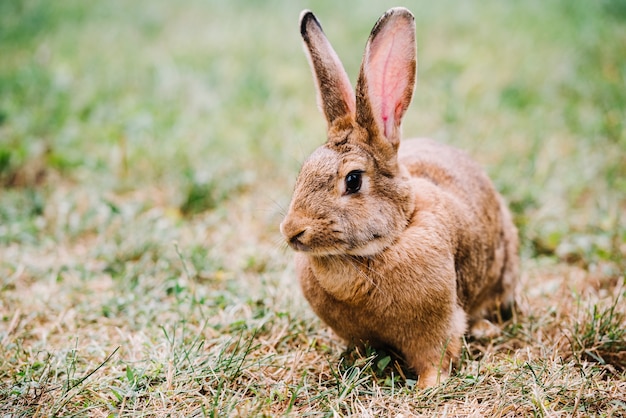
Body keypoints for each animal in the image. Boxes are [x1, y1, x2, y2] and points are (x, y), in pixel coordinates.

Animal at [282, 7, 516, 388]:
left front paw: (427, 387)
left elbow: (436, 355)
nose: (292, 231)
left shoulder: (437, 327)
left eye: (353, 180)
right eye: (303, 173)